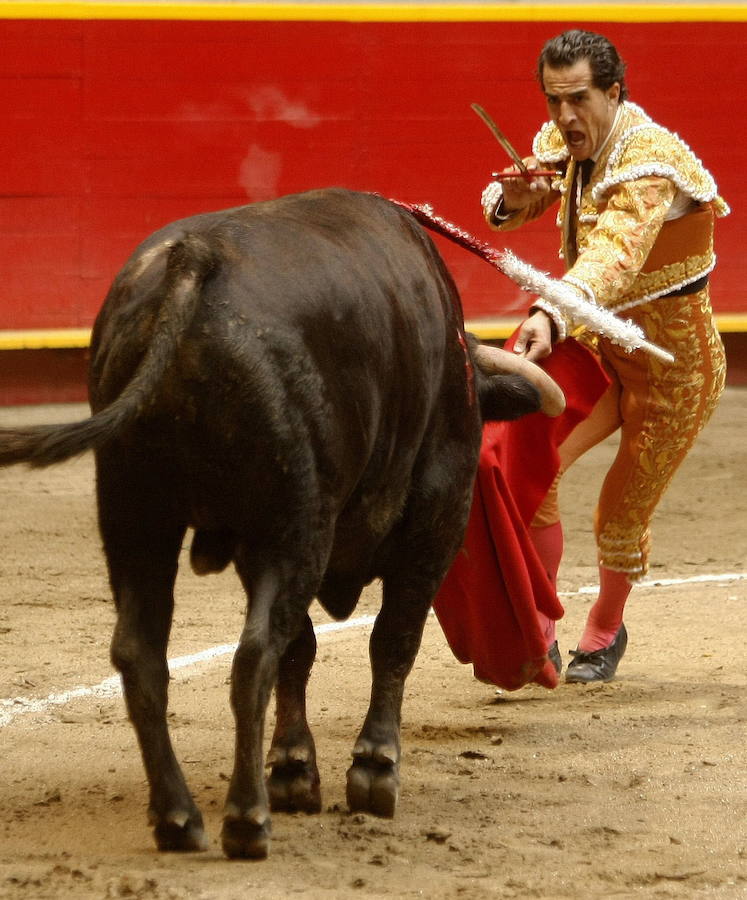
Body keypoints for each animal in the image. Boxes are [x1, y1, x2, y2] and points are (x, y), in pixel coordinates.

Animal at [0, 190, 560, 856]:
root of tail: (195, 263)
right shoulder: (435, 512)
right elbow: (390, 638)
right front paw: (372, 770)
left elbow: (305, 648)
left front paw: (294, 768)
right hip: (292, 527)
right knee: (254, 653)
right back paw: (246, 818)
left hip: (135, 514)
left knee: (143, 653)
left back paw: (179, 818)